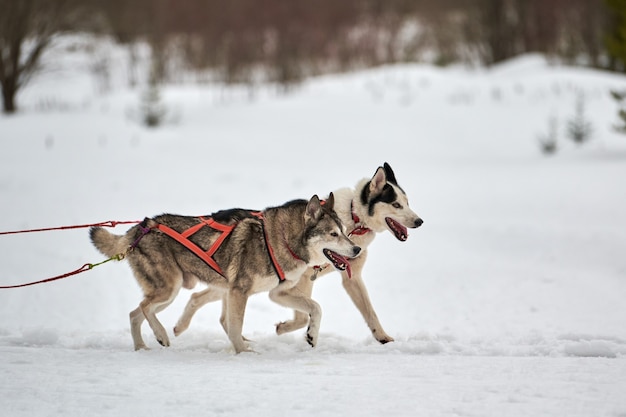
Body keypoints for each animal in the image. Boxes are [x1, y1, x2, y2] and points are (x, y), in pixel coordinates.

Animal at [89, 193, 358, 352]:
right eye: (333, 234)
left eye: (344, 231)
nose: (355, 248)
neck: (280, 239)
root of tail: (141, 228)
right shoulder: (240, 291)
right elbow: (236, 326)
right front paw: (243, 352)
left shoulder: (277, 293)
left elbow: (316, 308)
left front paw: (311, 335)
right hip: (170, 288)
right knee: (144, 308)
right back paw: (161, 335)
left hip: (171, 291)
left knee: (135, 314)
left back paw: (142, 348)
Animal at [173, 163, 422, 344]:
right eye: (397, 205)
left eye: (408, 202)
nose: (419, 221)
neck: (353, 219)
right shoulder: (301, 280)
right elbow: (304, 314)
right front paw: (290, 329)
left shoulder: (351, 278)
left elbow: (370, 312)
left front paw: (383, 338)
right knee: (203, 301)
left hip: (227, 284)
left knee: (199, 299)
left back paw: (181, 328)